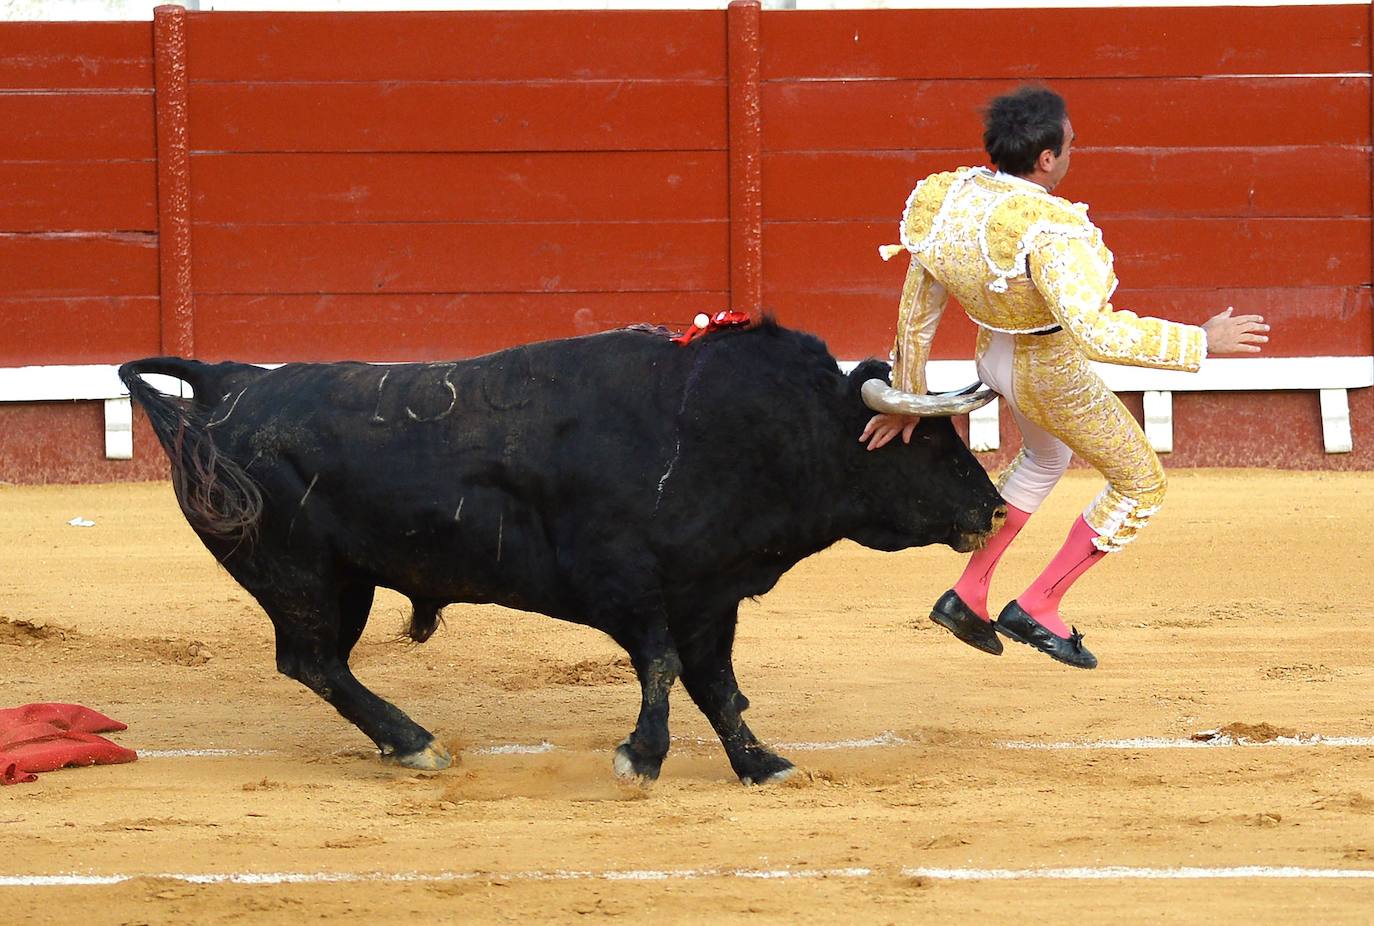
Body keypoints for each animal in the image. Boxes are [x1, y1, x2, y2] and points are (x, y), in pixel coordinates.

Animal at [118, 317, 1005, 780]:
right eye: (926, 443)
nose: (995, 509)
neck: (736, 428)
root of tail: (229, 382)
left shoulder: (707, 596)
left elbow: (718, 686)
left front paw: (761, 764)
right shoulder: (628, 587)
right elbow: (664, 668)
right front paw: (641, 757)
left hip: (343, 581)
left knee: (317, 663)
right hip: (302, 576)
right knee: (311, 661)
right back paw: (415, 742)